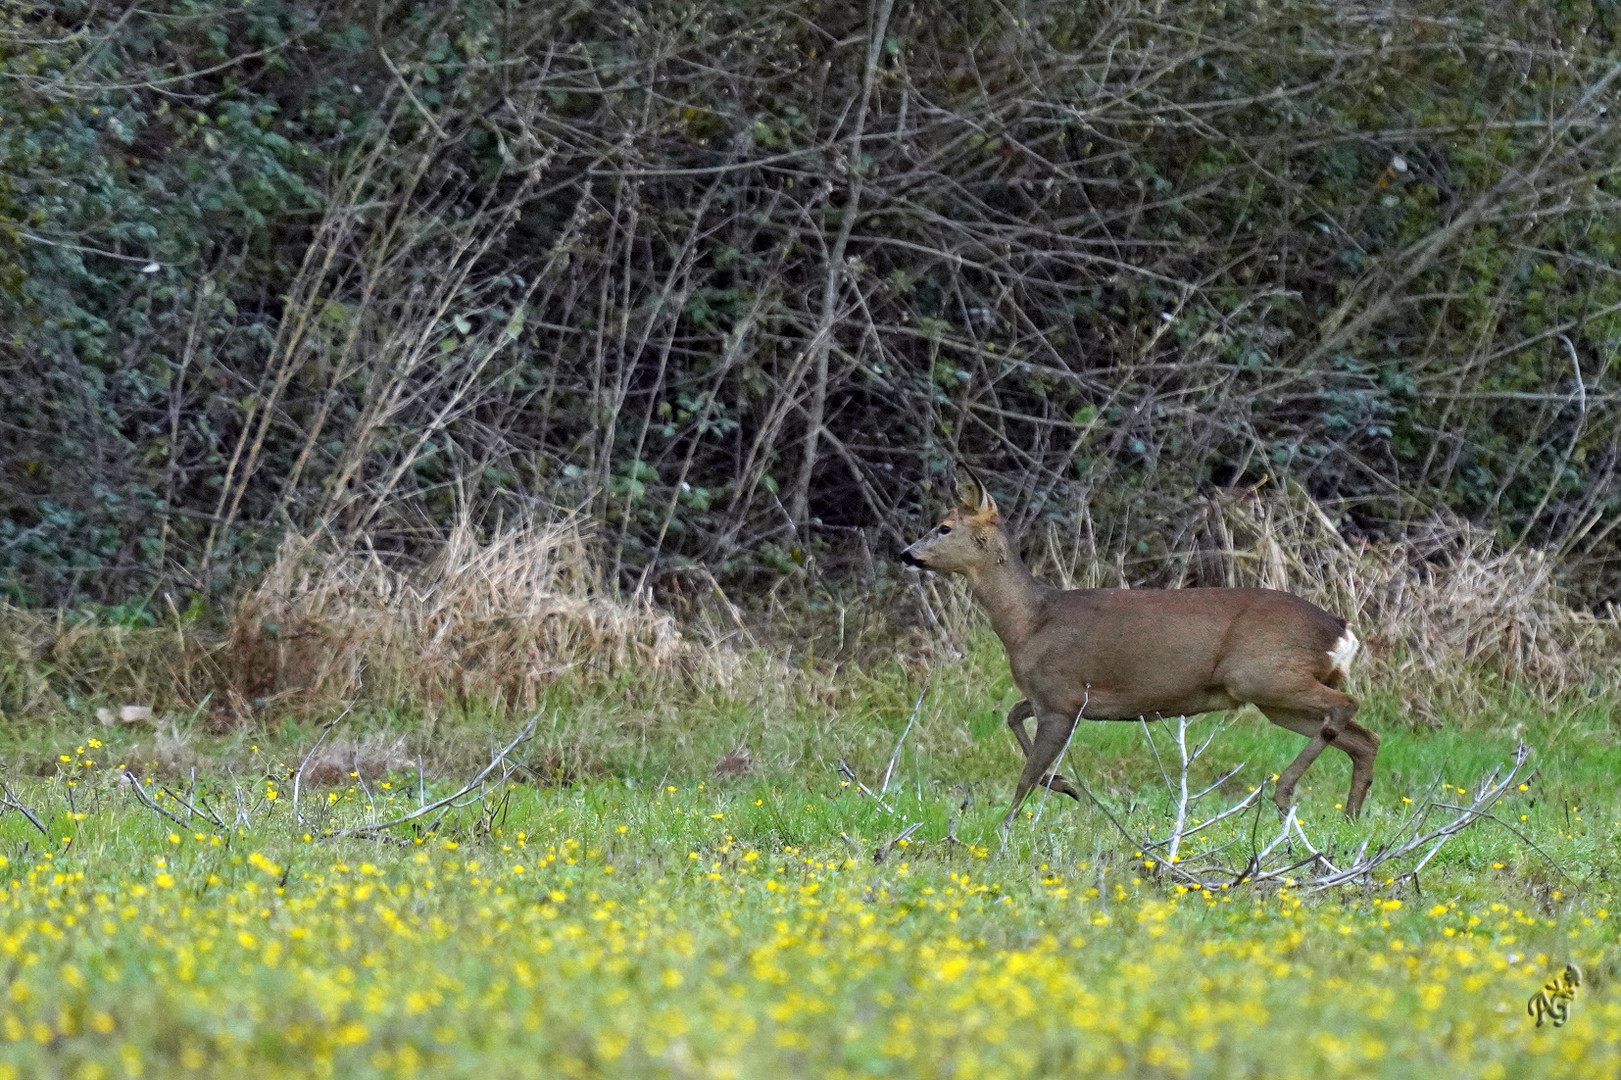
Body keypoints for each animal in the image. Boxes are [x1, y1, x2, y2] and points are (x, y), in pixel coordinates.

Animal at [901, 470, 1381, 823]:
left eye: (943, 527)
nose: (906, 554)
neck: (1029, 622)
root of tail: (1341, 630)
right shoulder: (1046, 697)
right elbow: (1013, 718)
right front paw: (1065, 786)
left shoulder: (1062, 696)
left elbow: (1026, 773)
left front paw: (1007, 826)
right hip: (1274, 696)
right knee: (1365, 738)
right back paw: (1351, 816)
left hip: (1265, 674)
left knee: (1347, 707)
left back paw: (1285, 792)